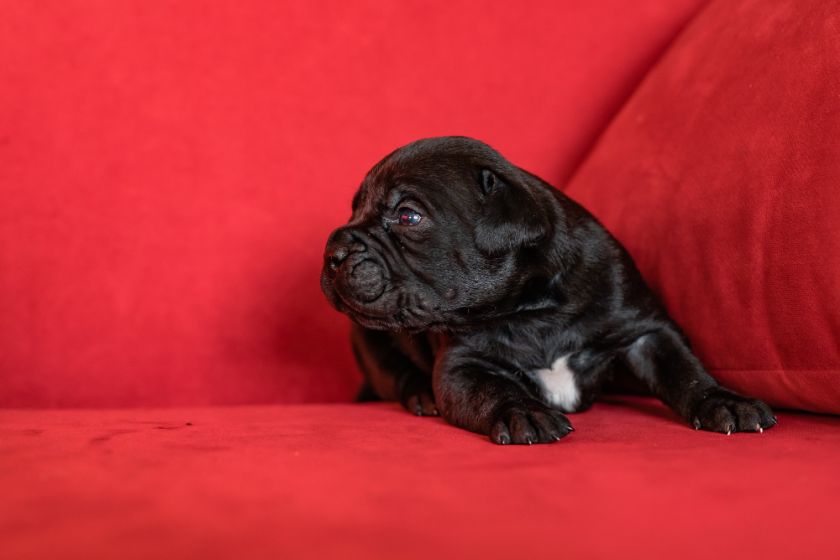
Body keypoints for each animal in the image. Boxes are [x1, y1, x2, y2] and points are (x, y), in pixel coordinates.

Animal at [320, 138, 776, 444]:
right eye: (355, 209)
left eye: (408, 216)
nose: (333, 251)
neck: (534, 308)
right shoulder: (462, 365)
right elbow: (493, 388)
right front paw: (523, 410)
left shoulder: (643, 329)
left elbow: (684, 370)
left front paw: (723, 400)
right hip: (369, 342)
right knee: (393, 373)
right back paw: (419, 395)